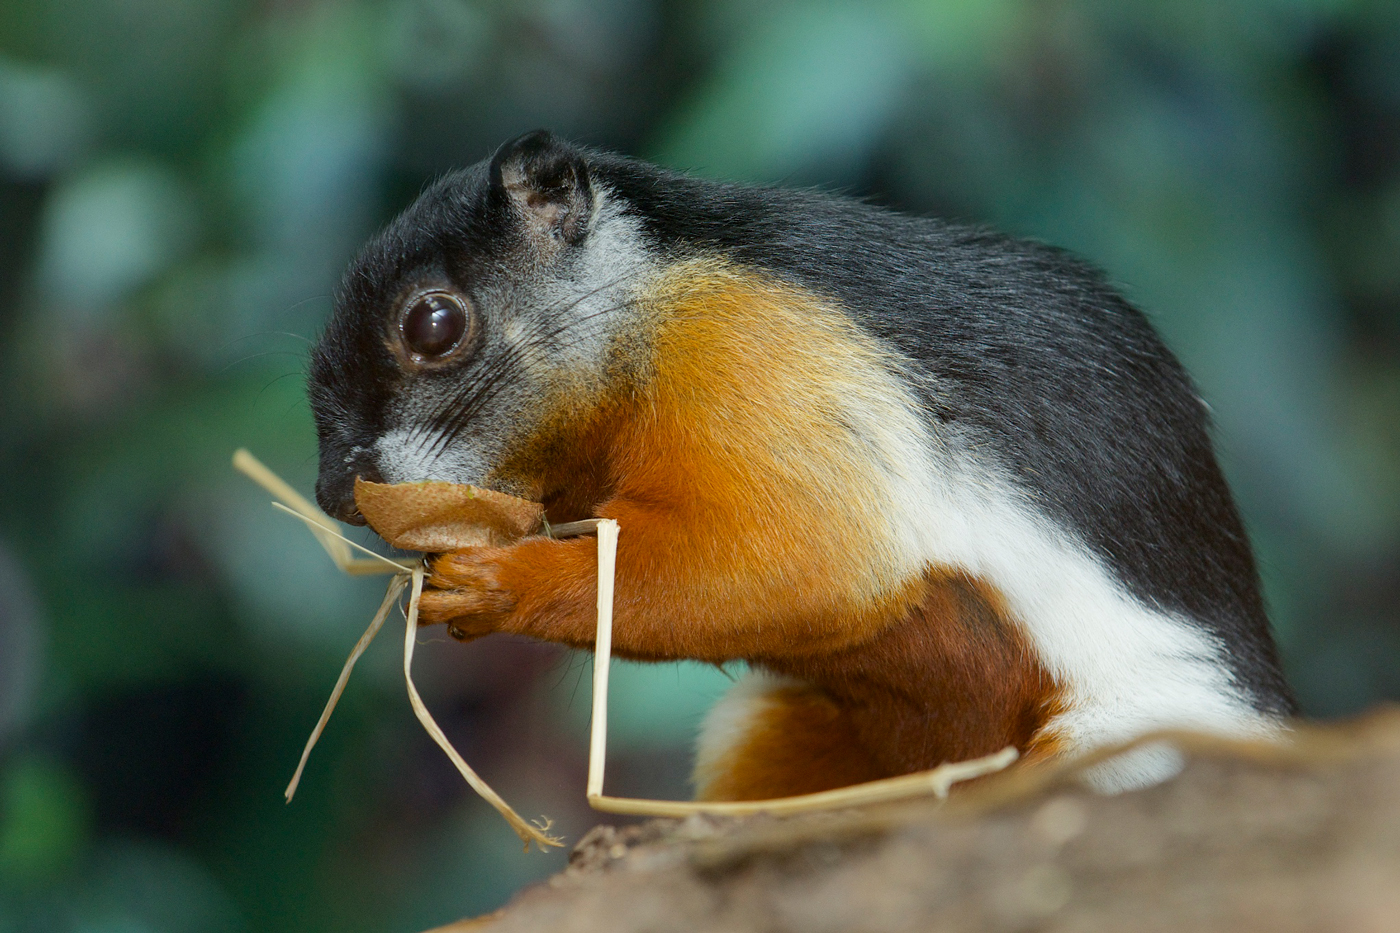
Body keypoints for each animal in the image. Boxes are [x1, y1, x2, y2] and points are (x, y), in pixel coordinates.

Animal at [312, 128, 1293, 801]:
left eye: (434, 324)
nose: (333, 493)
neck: (638, 305)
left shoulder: (754, 359)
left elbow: (798, 559)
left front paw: (503, 582)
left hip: (1115, 750)